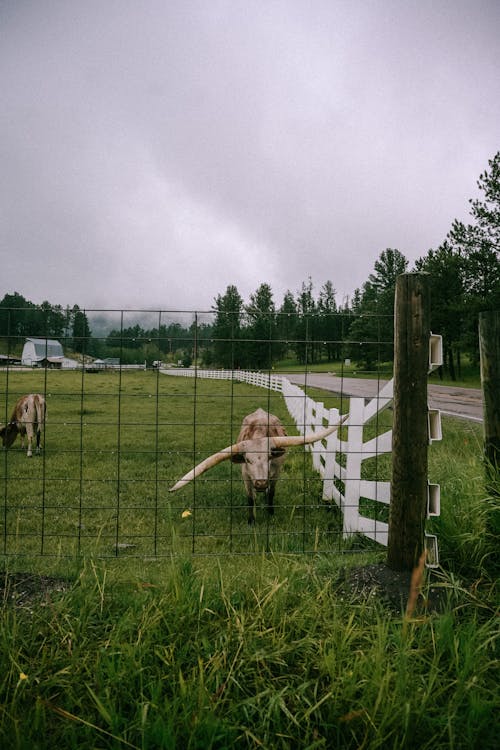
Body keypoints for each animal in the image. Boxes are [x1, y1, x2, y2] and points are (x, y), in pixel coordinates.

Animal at [170, 412, 346, 524]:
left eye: (269, 457)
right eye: (248, 460)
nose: (261, 483)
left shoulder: (276, 473)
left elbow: (272, 494)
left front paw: (270, 513)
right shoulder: (246, 476)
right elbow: (250, 498)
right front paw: (251, 520)